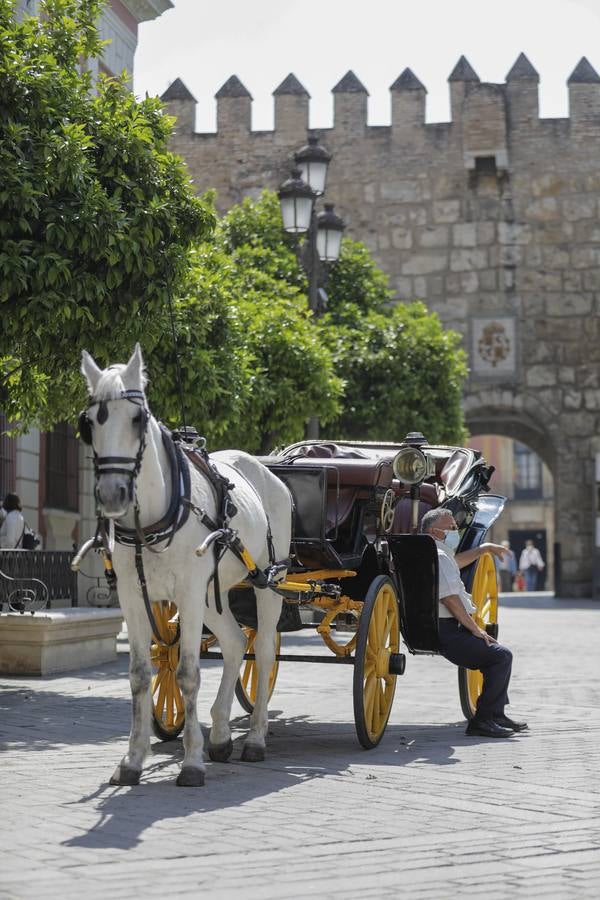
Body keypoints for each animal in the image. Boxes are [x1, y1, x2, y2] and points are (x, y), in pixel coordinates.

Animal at [80, 344, 292, 788]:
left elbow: (188, 673)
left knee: (263, 652)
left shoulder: (190, 594)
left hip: (267, 581)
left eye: (138, 419)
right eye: (88, 424)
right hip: (213, 594)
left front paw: (191, 761)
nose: (112, 493)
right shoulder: (134, 596)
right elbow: (140, 674)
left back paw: (255, 738)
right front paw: (132, 760)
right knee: (235, 642)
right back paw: (222, 735)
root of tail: (268, 472)